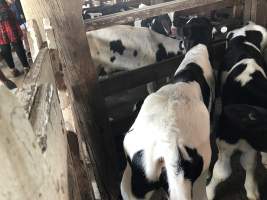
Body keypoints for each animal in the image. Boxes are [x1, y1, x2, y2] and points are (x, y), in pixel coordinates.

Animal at [208, 22, 267, 200]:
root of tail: (242, 33)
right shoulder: (225, 141)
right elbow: (222, 172)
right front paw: (209, 191)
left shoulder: (250, 146)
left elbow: (249, 164)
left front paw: (251, 190)